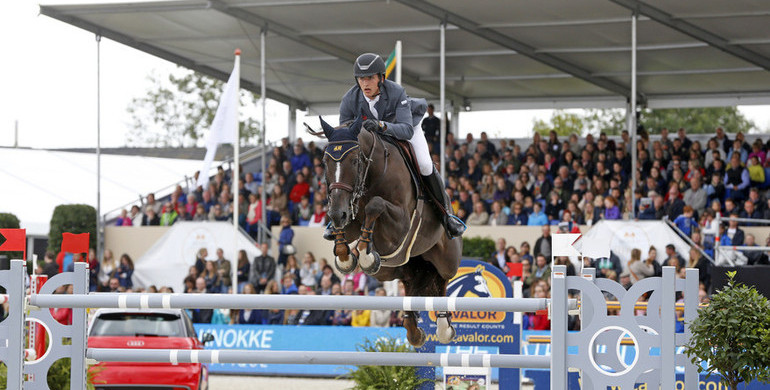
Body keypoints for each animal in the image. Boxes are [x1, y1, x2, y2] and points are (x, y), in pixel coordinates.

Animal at [308, 116, 462, 348]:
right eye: (325, 162)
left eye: (355, 161)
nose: (337, 213)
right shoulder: (349, 215)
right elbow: (346, 231)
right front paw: (346, 256)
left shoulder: (401, 225)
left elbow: (376, 205)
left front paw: (365, 254)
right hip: (392, 270)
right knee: (410, 284)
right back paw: (413, 330)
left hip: (447, 260)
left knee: (442, 281)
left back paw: (444, 328)